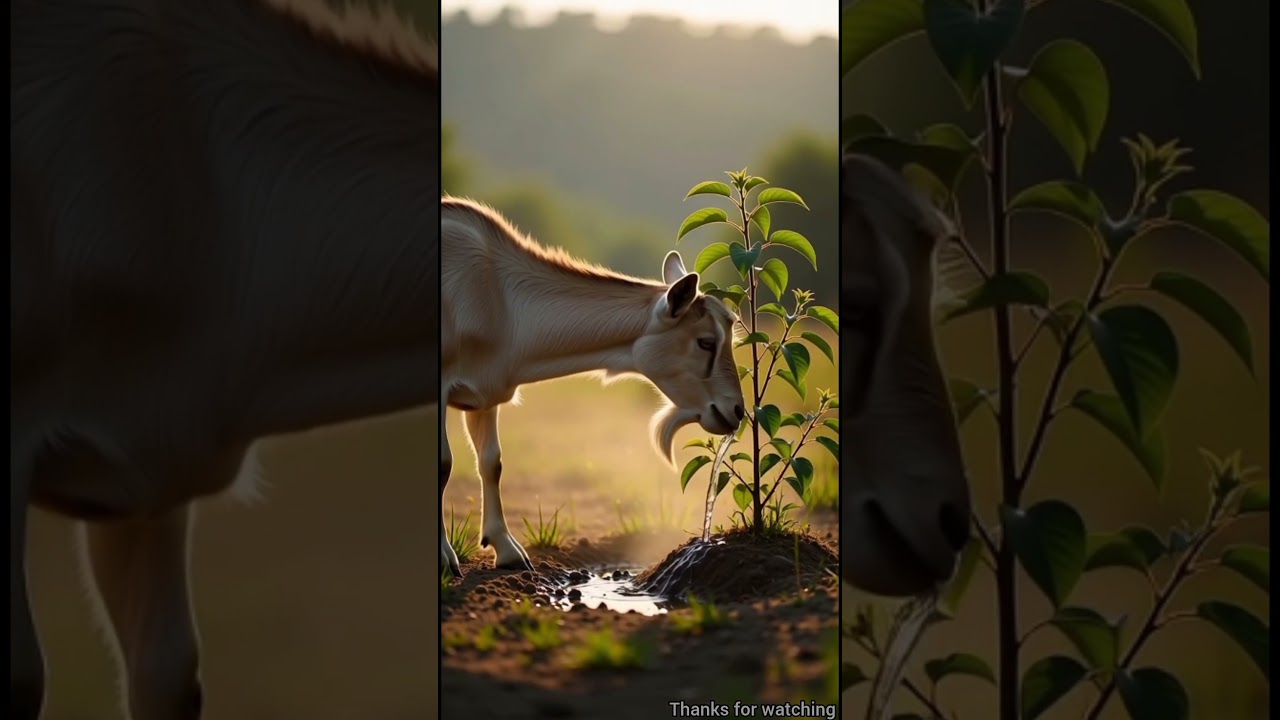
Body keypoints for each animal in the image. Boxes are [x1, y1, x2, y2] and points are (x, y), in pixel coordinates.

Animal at [439, 198, 747, 575]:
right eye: (705, 342)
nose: (736, 410)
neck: (499, 301)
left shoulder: (485, 394)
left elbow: (491, 462)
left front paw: (509, 552)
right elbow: (443, 463)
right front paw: (445, 558)